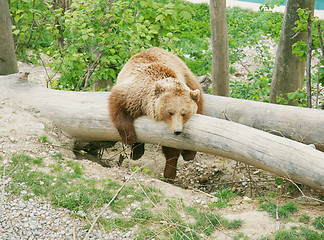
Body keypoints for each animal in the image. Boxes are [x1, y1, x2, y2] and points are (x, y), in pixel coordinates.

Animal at [109, 47, 205, 179]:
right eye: (170, 112)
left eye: (184, 113)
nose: (177, 131)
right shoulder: (134, 94)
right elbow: (119, 105)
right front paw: (130, 139)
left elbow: (172, 149)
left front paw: (169, 172)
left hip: (188, 77)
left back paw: (189, 154)